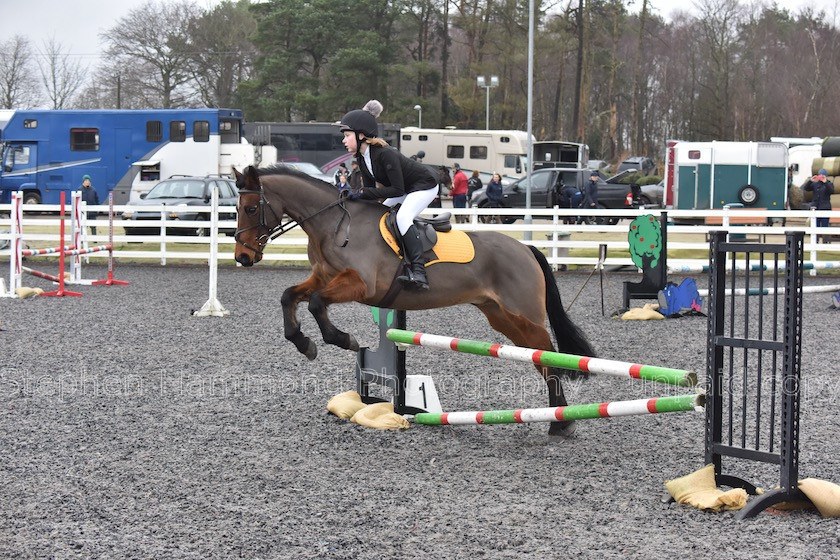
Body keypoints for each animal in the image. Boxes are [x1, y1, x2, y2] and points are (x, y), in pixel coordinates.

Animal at [233, 164, 592, 436]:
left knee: (549, 356)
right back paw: (557, 417)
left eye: (251, 208)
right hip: (501, 316)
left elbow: (317, 303)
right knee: (539, 357)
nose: (242, 257)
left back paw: (562, 422)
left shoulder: (359, 285)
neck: (333, 225)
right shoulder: (322, 278)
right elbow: (290, 297)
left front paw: (343, 339)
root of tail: (526, 249)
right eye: (236, 209)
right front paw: (303, 343)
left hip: (524, 314)